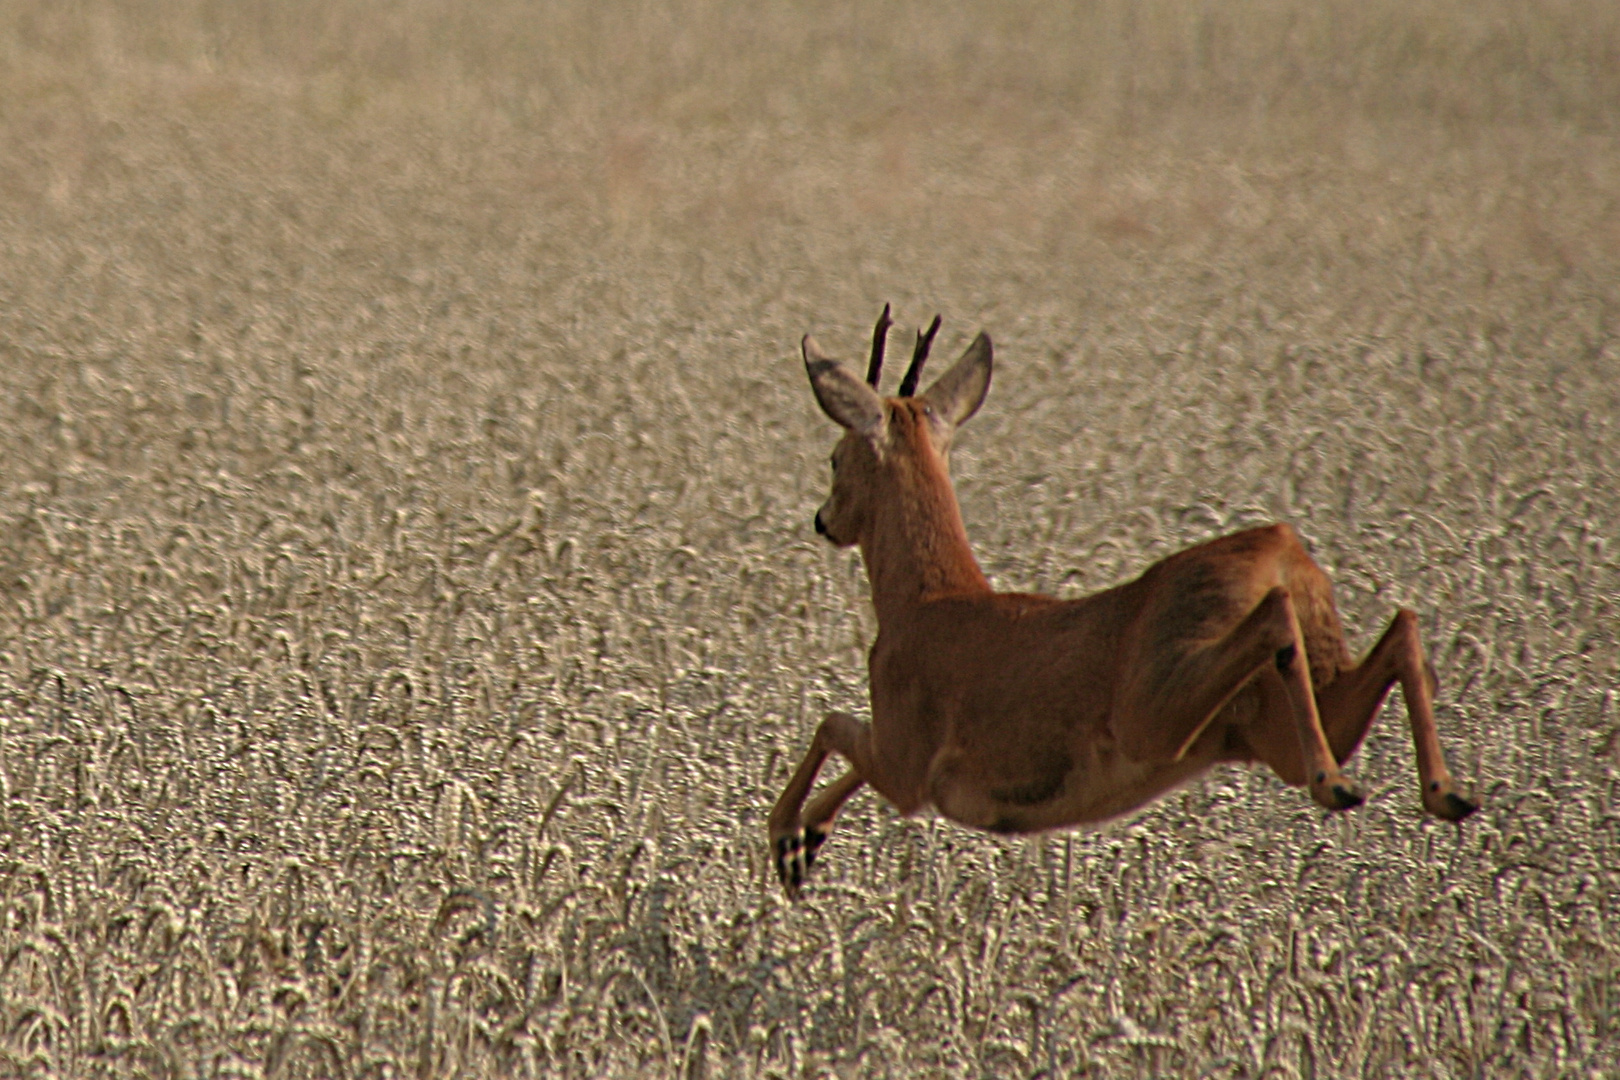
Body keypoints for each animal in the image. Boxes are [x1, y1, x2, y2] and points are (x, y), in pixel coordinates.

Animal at [771, 307, 1483, 900]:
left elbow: (831, 723)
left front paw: (785, 841)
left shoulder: (910, 763)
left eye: (834, 457)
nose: (823, 520)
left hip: (1154, 708)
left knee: (1283, 621)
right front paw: (806, 844)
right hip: (1274, 721)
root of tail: (1286, 555)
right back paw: (1443, 793)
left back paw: (1341, 783)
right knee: (1401, 626)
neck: (924, 601)